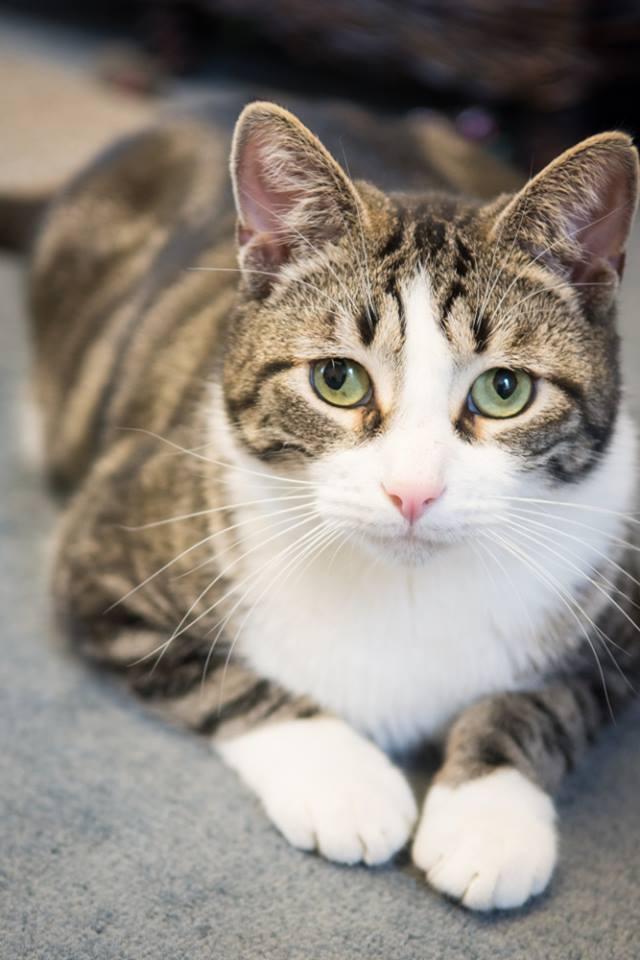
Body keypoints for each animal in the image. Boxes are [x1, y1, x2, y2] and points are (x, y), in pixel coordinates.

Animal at [31, 99, 640, 916]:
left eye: (505, 389)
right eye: (336, 379)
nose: (413, 491)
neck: (406, 590)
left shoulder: (620, 613)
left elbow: (544, 706)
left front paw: (488, 817)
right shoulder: (104, 549)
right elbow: (222, 680)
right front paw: (345, 784)